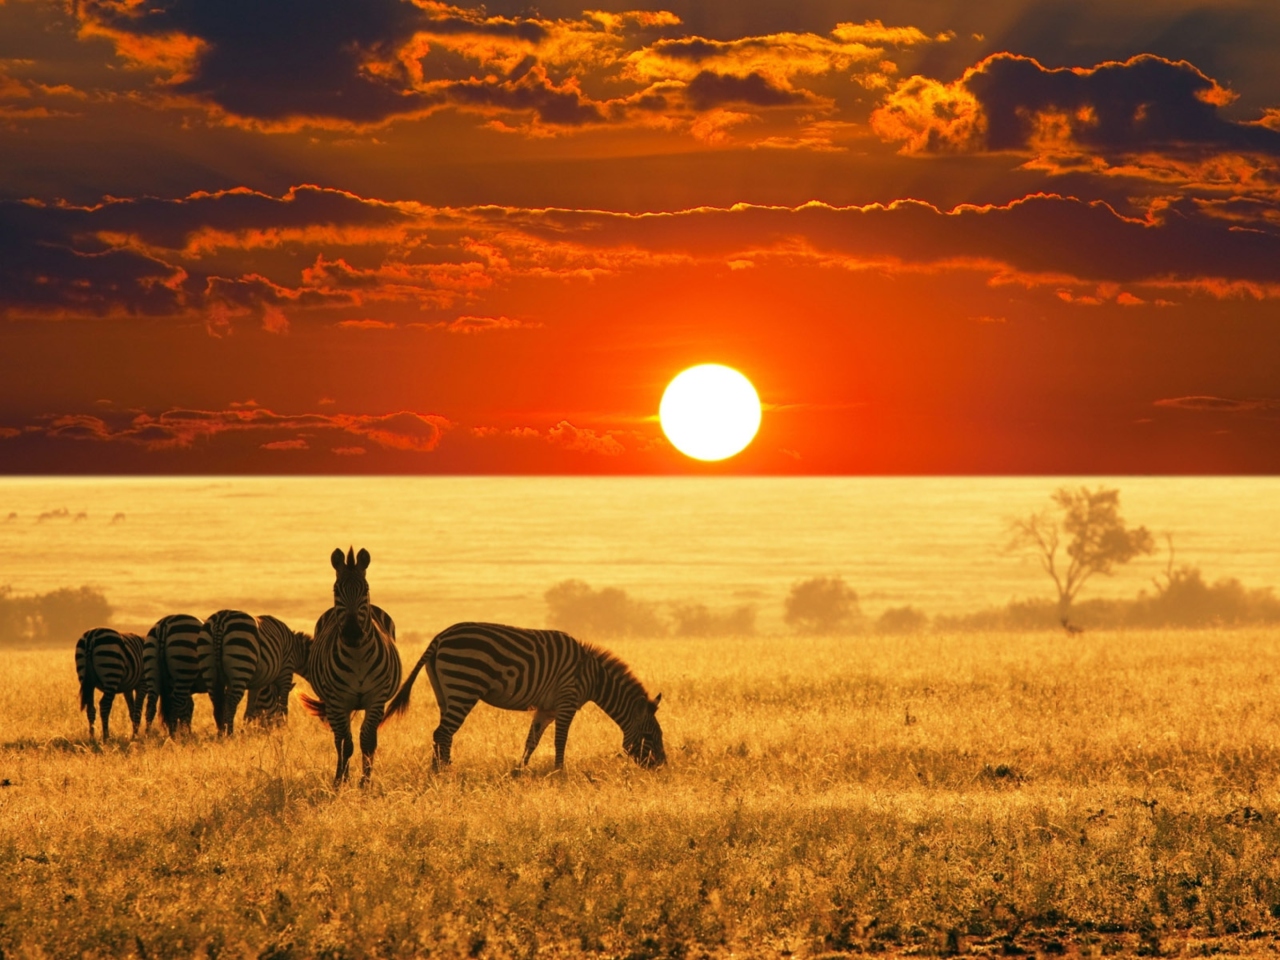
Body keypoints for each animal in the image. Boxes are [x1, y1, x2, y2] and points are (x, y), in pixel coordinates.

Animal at [198, 609, 311, 737]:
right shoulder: (286, 672)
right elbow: (284, 705)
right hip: (241, 664)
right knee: (231, 702)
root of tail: (221, 619)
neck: (297, 651)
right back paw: (230, 734)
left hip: (209, 668)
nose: (272, 729)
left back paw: (222, 733)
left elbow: (250, 709)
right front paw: (284, 729)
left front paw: (244, 731)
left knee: (217, 702)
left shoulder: (256, 683)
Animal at [299, 547, 399, 788]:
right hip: (334, 705)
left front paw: (365, 783)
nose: (352, 633)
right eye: (336, 589)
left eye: (366, 589)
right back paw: (339, 776)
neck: (358, 656)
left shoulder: (376, 698)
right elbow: (347, 743)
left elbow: (367, 741)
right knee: (339, 740)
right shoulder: (337, 700)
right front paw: (341, 781)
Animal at [378, 624, 665, 773]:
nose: (662, 767)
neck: (593, 676)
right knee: (443, 732)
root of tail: (439, 637)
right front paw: (559, 773)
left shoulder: (547, 708)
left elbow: (532, 741)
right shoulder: (567, 701)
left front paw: (520, 771)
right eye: (650, 736)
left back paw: (439, 770)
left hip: (445, 692)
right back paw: (445, 773)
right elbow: (560, 741)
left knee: (441, 734)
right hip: (464, 686)